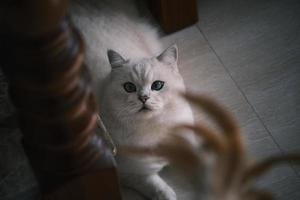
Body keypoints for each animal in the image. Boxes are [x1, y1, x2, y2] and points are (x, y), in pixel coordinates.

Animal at [71, 0, 196, 199]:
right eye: (129, 87)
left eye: (157, 85)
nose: (143, 98)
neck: (154, 128)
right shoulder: (132, 174)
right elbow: (161, 190)